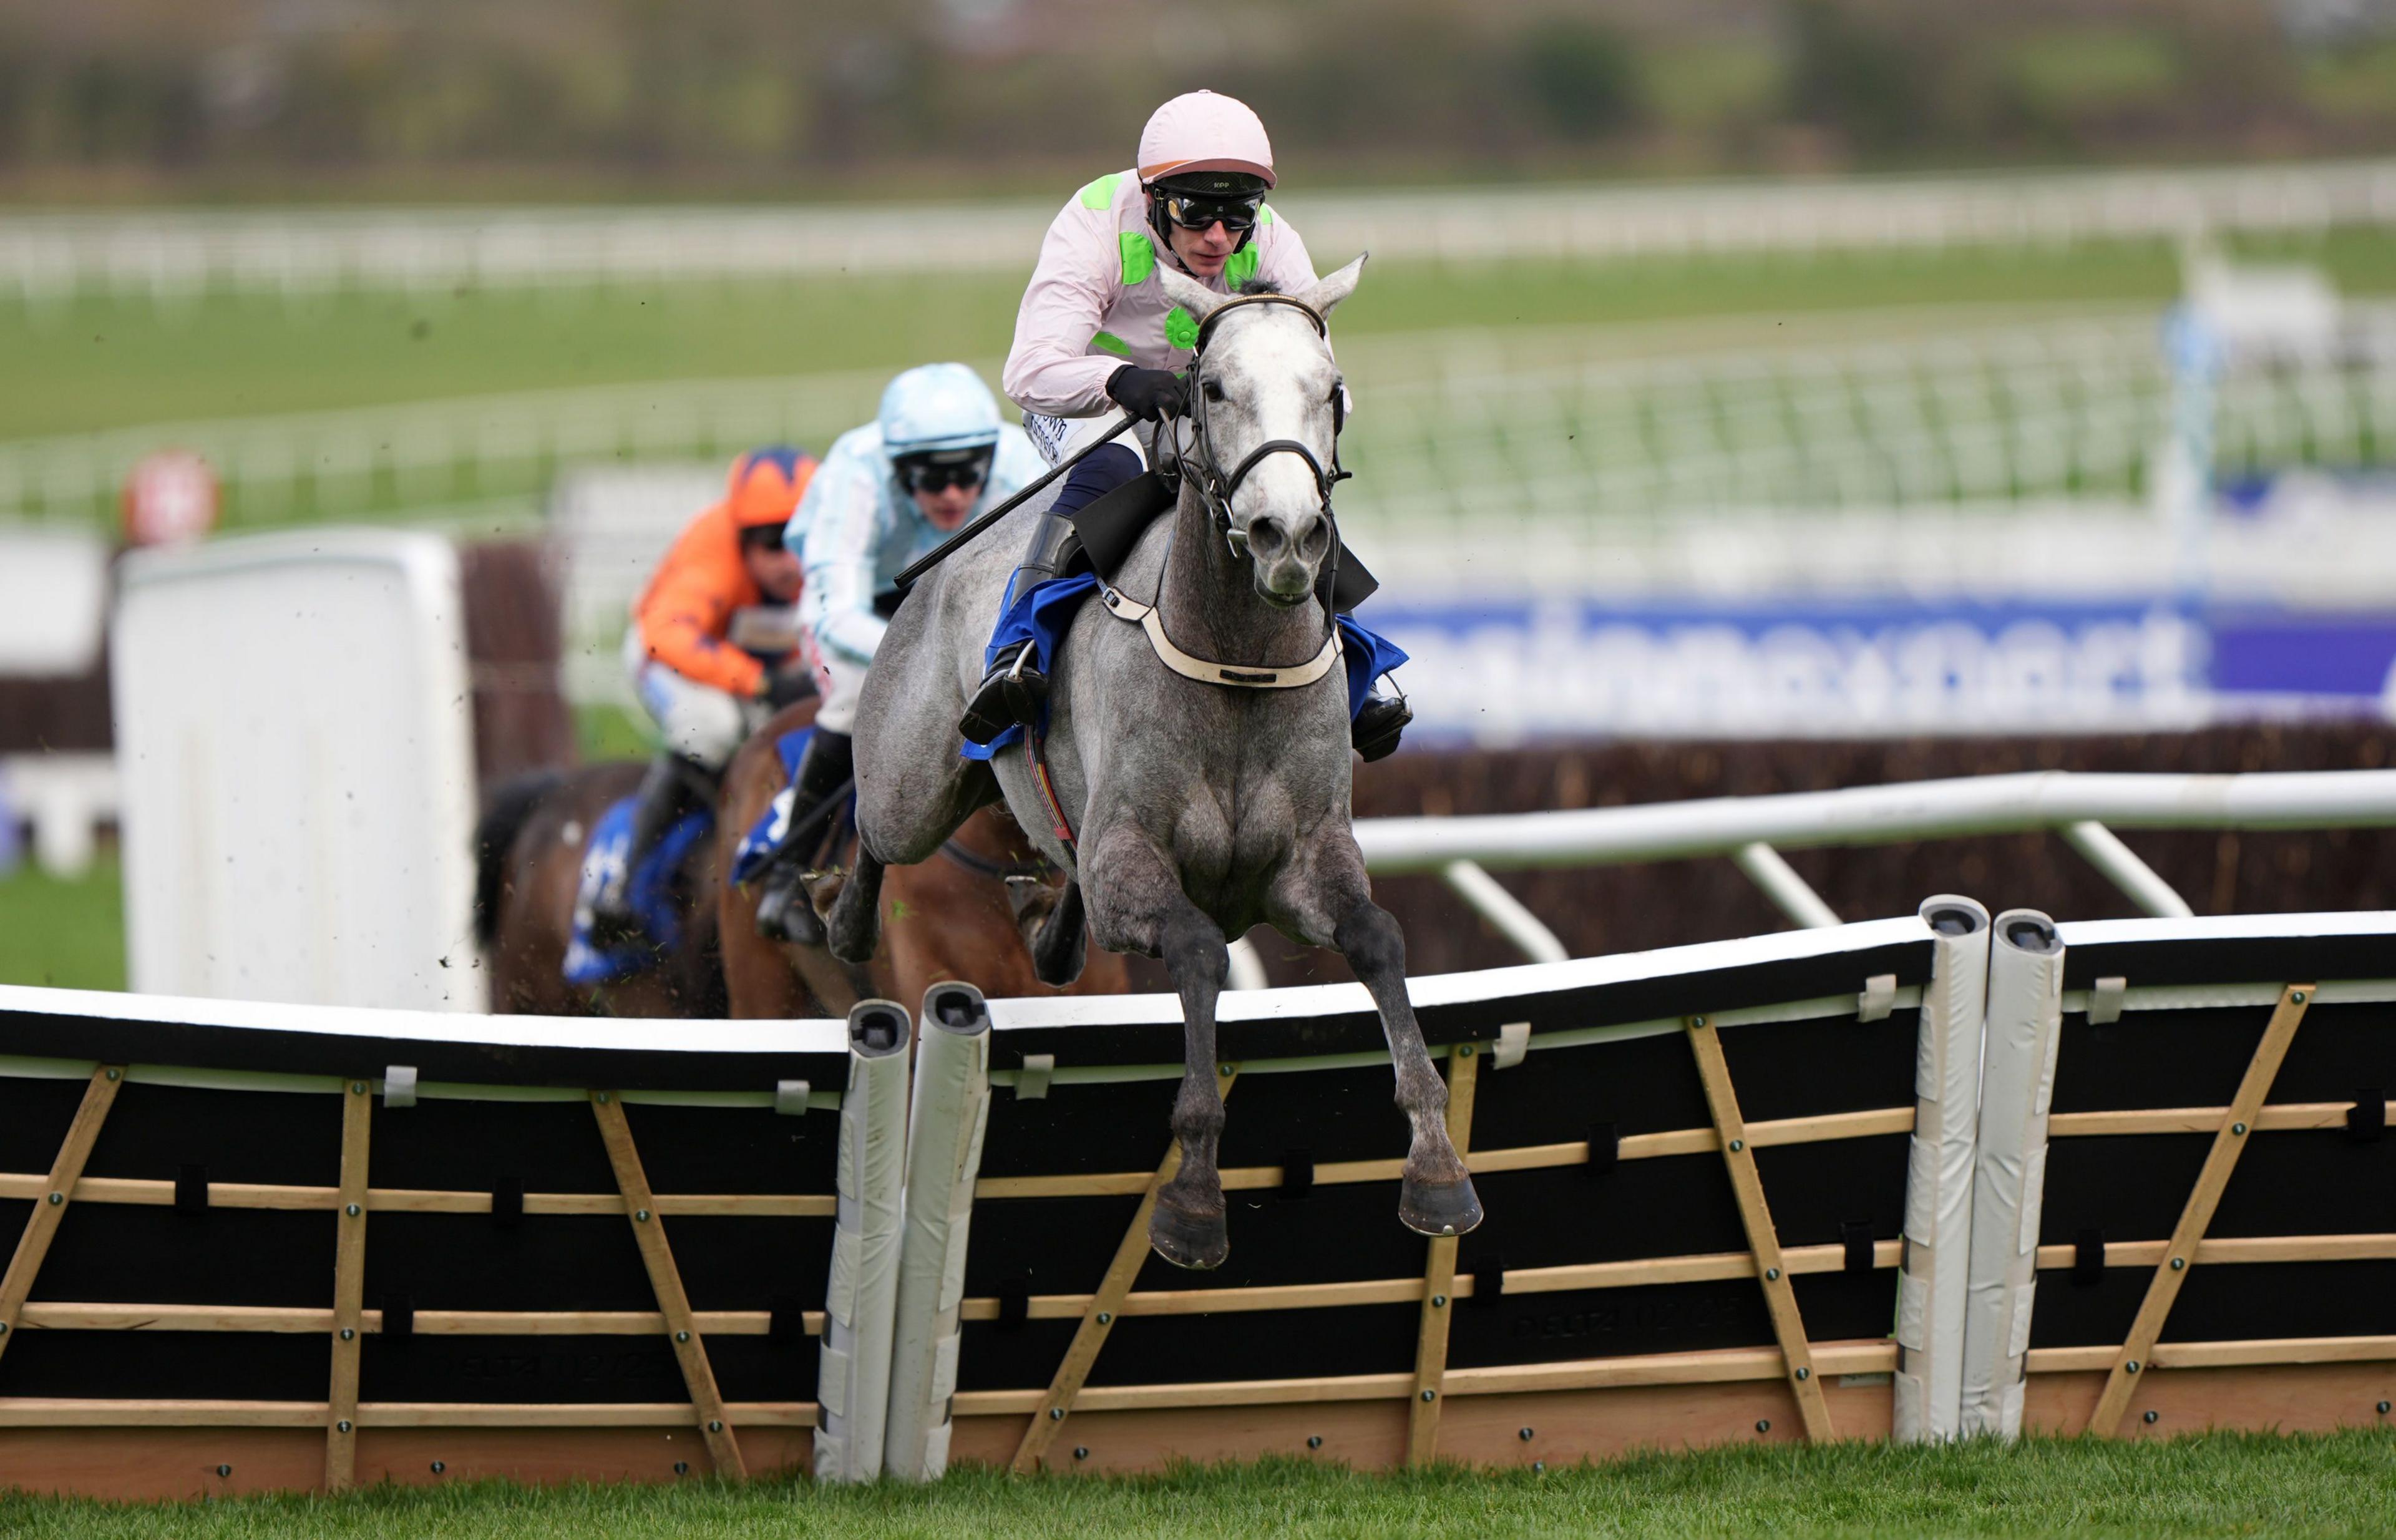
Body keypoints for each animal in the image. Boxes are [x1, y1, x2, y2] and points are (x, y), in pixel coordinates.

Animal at [824, 252, 1476, 1264]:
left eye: (1332, 390)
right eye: (1211, 387)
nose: (1288, 537)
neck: (1238, 662)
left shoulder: (1307, 862)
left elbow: (1377, 937)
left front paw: (1438, 1167)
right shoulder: (1136, 863)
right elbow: (1200, 951)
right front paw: (1194, 1198)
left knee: (1056, 880)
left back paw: (1048, 927)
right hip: (914, 783)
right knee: (875, 824)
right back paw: (847, 919)